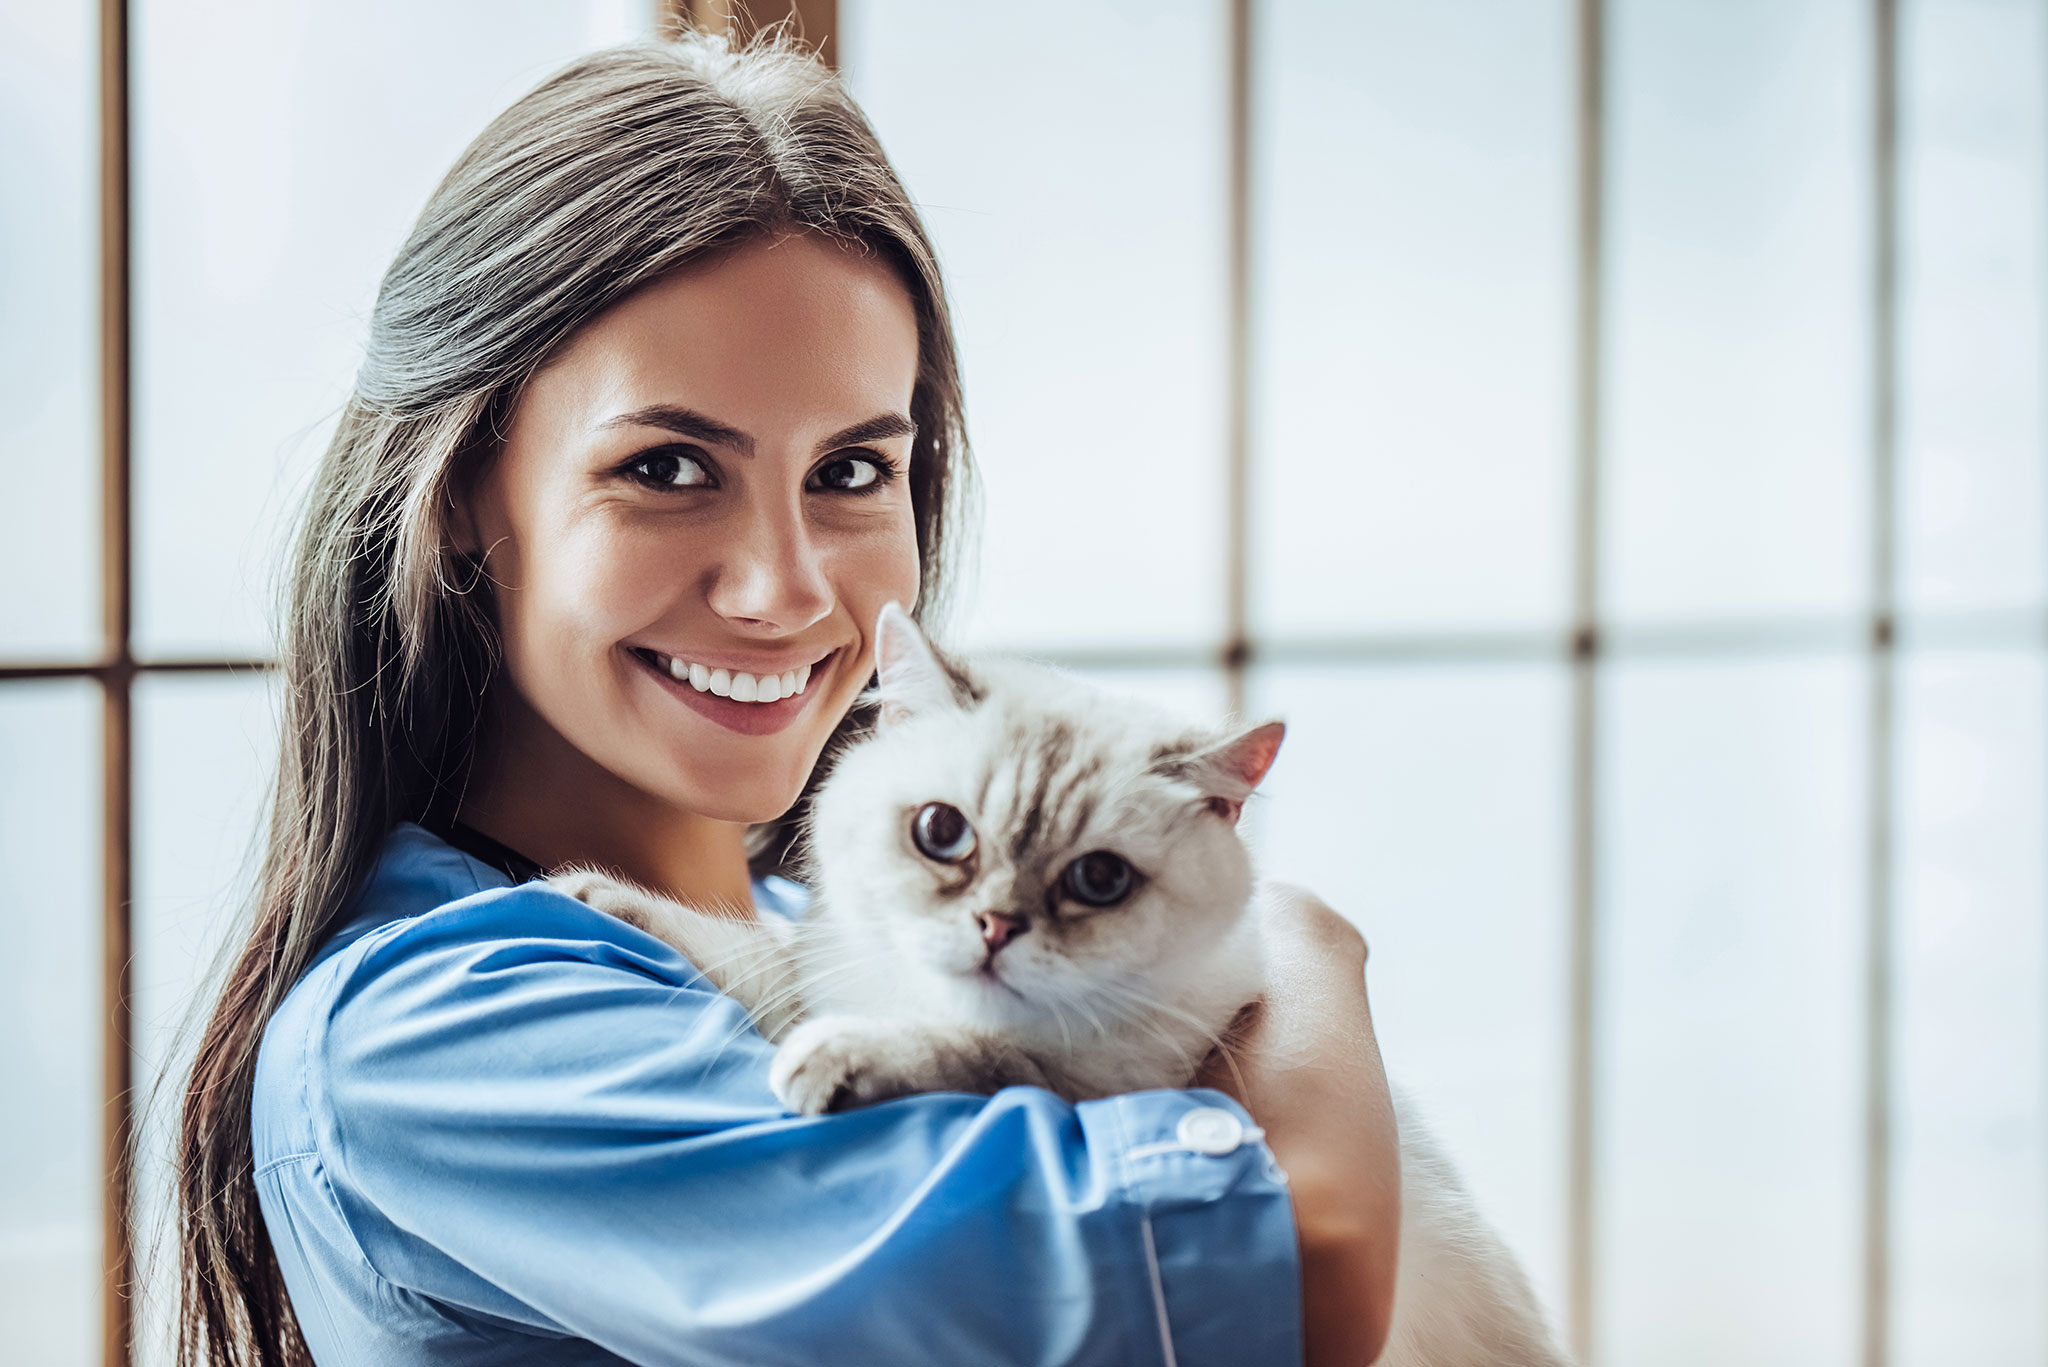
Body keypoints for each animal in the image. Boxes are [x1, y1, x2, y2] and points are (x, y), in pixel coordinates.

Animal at [552, 610, 1572, 1367]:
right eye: (940, 832)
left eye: (1099, 880)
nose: (998, 927)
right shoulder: (820, 973)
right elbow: (748, 955)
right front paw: (587, 894)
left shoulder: (1108, 1087)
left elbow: (978, 1054)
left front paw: (842, 1056)